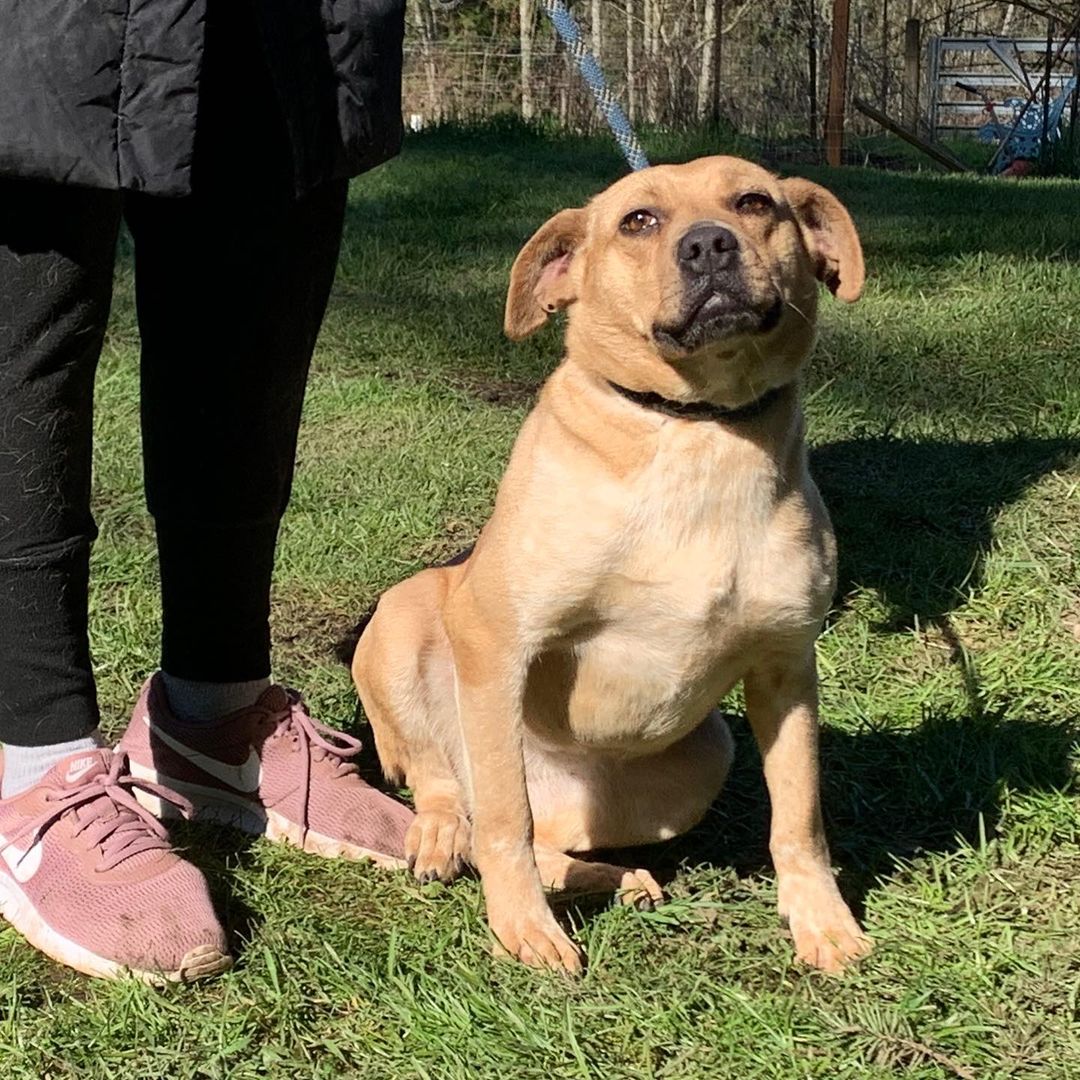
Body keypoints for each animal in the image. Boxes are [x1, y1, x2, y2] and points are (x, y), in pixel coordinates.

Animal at [349, 156, 872, 976]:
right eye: (639, 221)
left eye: (755, 203)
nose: (709, 246)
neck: (696, 430)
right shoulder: (496, 639)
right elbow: (503, 822)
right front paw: (523, 929)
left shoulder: (787, 667)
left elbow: (799, 816)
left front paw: (821, 920)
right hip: (406, 624)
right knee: (459, 792)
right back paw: (443, 833)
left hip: (704, 756)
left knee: (547, 840)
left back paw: (616, 877)